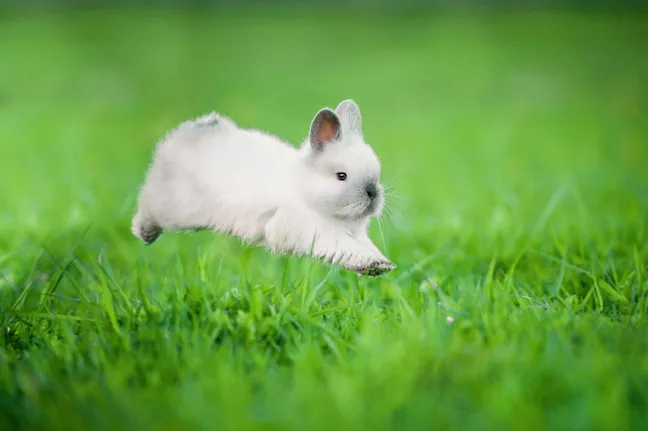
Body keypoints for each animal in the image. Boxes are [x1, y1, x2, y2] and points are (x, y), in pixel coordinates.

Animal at [131, 99, 396, 276]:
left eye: (376, 172)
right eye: (342, 176)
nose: (373, 193)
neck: (305, 191)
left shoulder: (358, 236)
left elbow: (366, 247)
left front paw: (381, 265)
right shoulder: (314, 231)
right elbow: (345, 248)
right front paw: (372, 264)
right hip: (173, 207)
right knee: (147, 204)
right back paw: (144, 233)